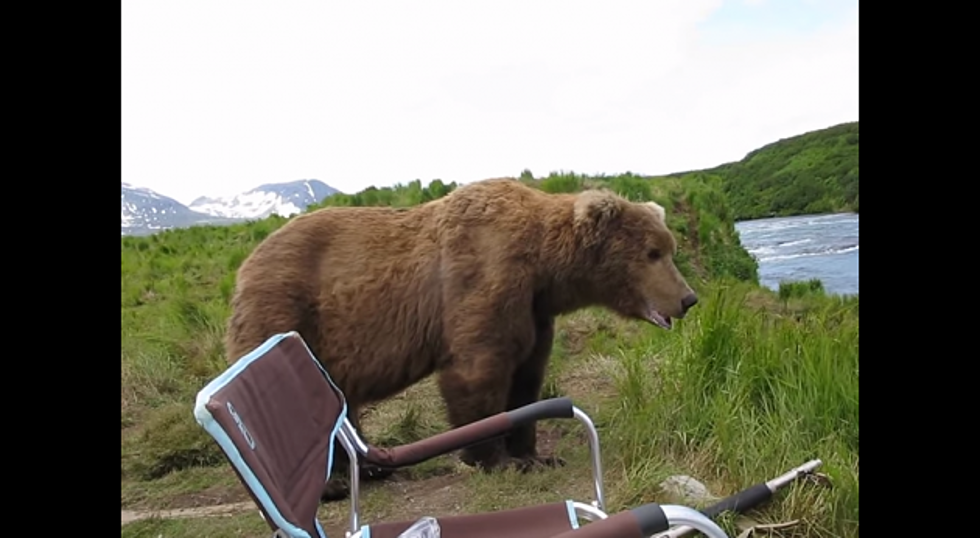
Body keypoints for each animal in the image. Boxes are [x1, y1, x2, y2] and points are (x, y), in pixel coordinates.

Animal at [224, 177, 696, 498]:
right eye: (652, 253)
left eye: (668, 248)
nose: (688, 298)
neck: (545, 267)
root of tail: (245, 264)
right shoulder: (483, 278)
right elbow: (478, 372)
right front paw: (494, 459)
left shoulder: (534, 311)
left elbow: (527, 378)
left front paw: (536, 455)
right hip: (287, 314)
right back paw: (332, 484)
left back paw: (370, 468)